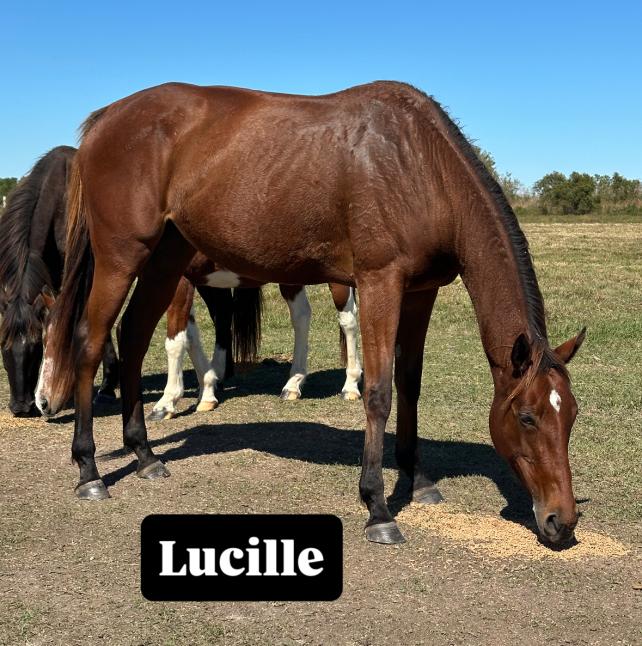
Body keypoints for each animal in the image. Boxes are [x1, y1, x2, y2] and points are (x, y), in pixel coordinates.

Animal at [149, 261, 361, 420]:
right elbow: (190, 336)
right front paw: (207, 391)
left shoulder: (179, 279)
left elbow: (176, 342)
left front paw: (166, 403)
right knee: (301, 315)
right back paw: (293, 384)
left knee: (348, 320)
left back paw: (350, 385)